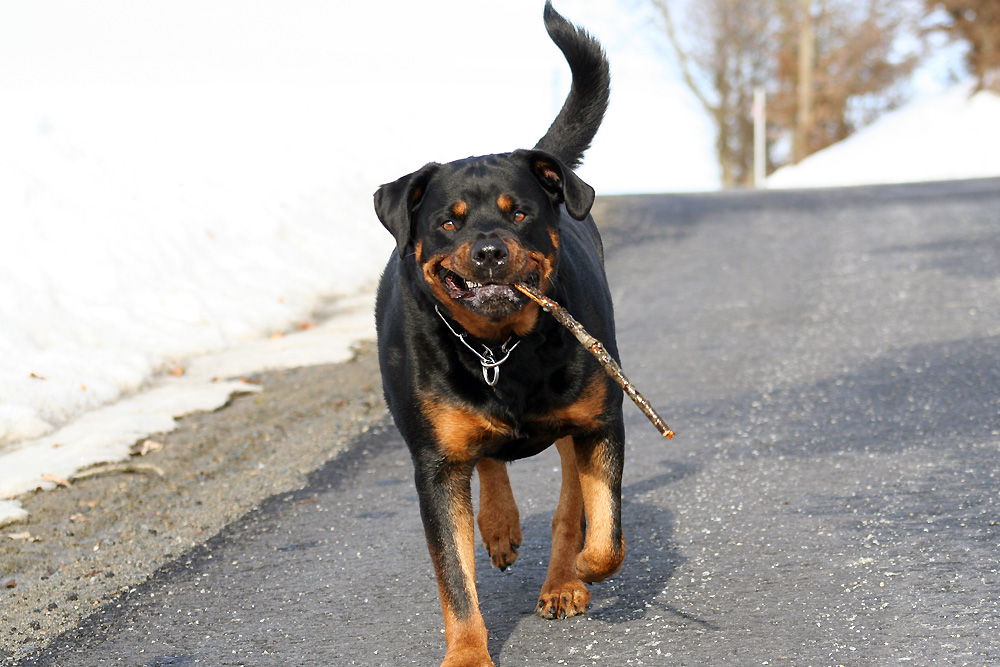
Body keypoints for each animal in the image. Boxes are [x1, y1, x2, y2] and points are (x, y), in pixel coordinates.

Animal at [376, 2, 624, 664]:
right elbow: (454, 579)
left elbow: (604, 533)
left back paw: (562, 578)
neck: (499, 347)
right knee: (489, 461)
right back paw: (500, 525)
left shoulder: (599, 420)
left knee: (570, 503)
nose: (488, 252)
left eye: (520, 212)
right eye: (448, 221)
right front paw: (467, 653)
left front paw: (581, 571)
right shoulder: (435, 466)